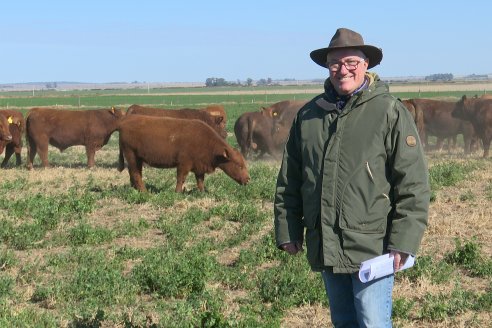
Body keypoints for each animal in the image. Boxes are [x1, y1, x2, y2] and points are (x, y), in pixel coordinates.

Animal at [117, 115, 250, 192]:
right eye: (239, 166)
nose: (248, 179)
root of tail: (124, 123)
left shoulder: (199, 166)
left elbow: (200, 181)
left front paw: (202, 192)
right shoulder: (184, 164)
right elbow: (181, 179)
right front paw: (178, 192)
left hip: (137, 158)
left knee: (134, 173)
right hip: (132, 156)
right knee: (136, 174)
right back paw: (144, 191)